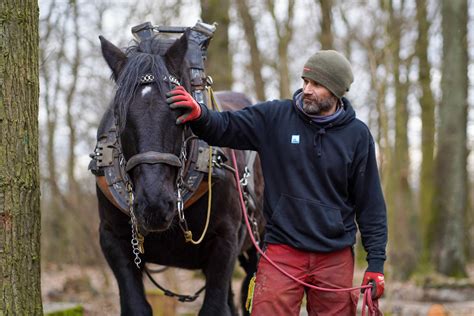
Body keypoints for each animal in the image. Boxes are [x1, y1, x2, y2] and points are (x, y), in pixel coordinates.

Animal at [93, 29, 262, 316]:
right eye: (119, 115)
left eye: (182, 114)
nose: (154, 204)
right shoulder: (113, 240)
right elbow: (135, 306)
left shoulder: (226, 240)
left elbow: (214, 308)